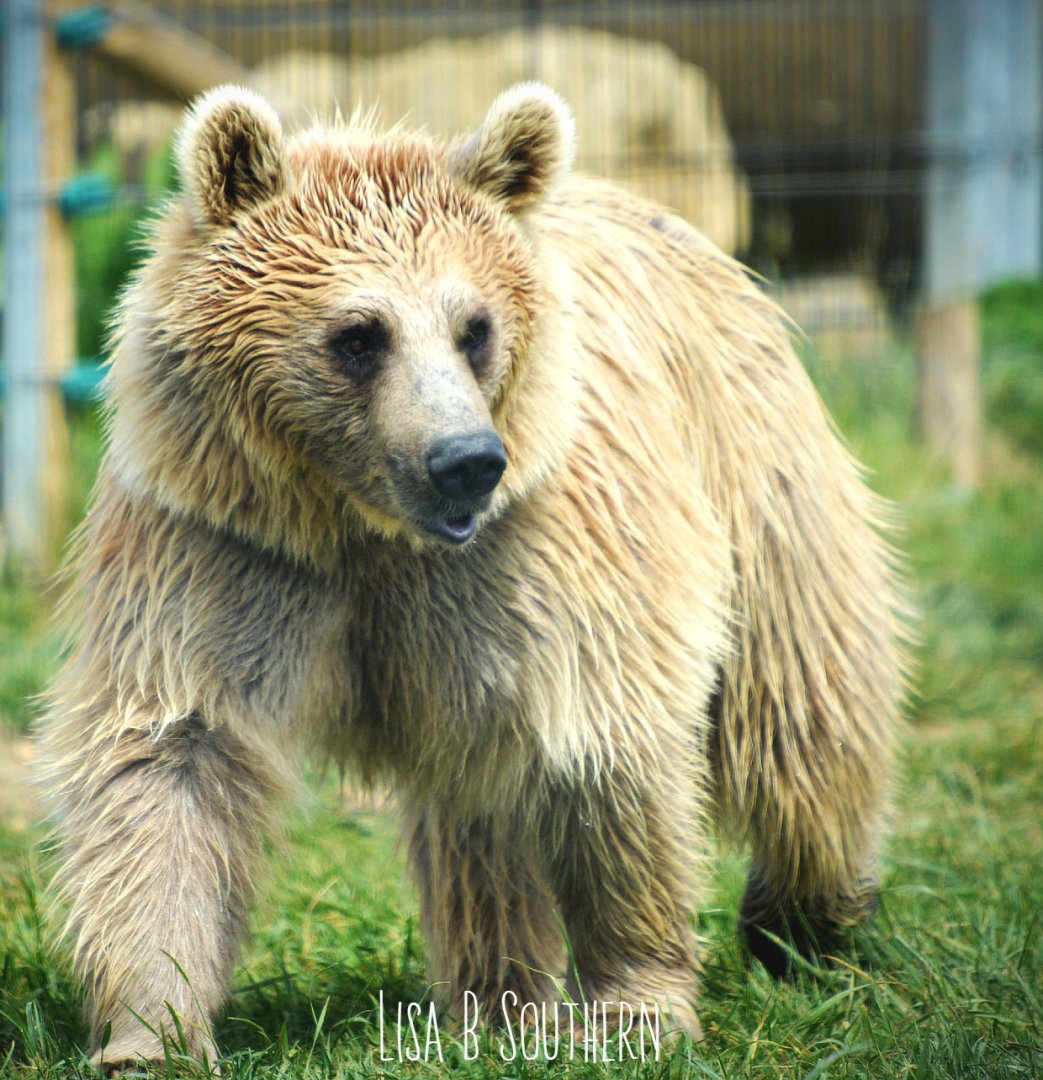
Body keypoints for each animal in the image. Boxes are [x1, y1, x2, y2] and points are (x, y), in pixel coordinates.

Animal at [36, 82, 905, 1072]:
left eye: (474, 327)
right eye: (359, 334)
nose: (465, 461)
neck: (358, 523)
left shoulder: (538, 557)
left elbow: (603, 750)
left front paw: (637, 1005)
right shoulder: (223, 549)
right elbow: (172, 760)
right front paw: (153, 1031)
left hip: (752, 467)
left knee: (799, 715)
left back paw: (805, 922)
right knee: (475, 807)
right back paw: (498, 1000)